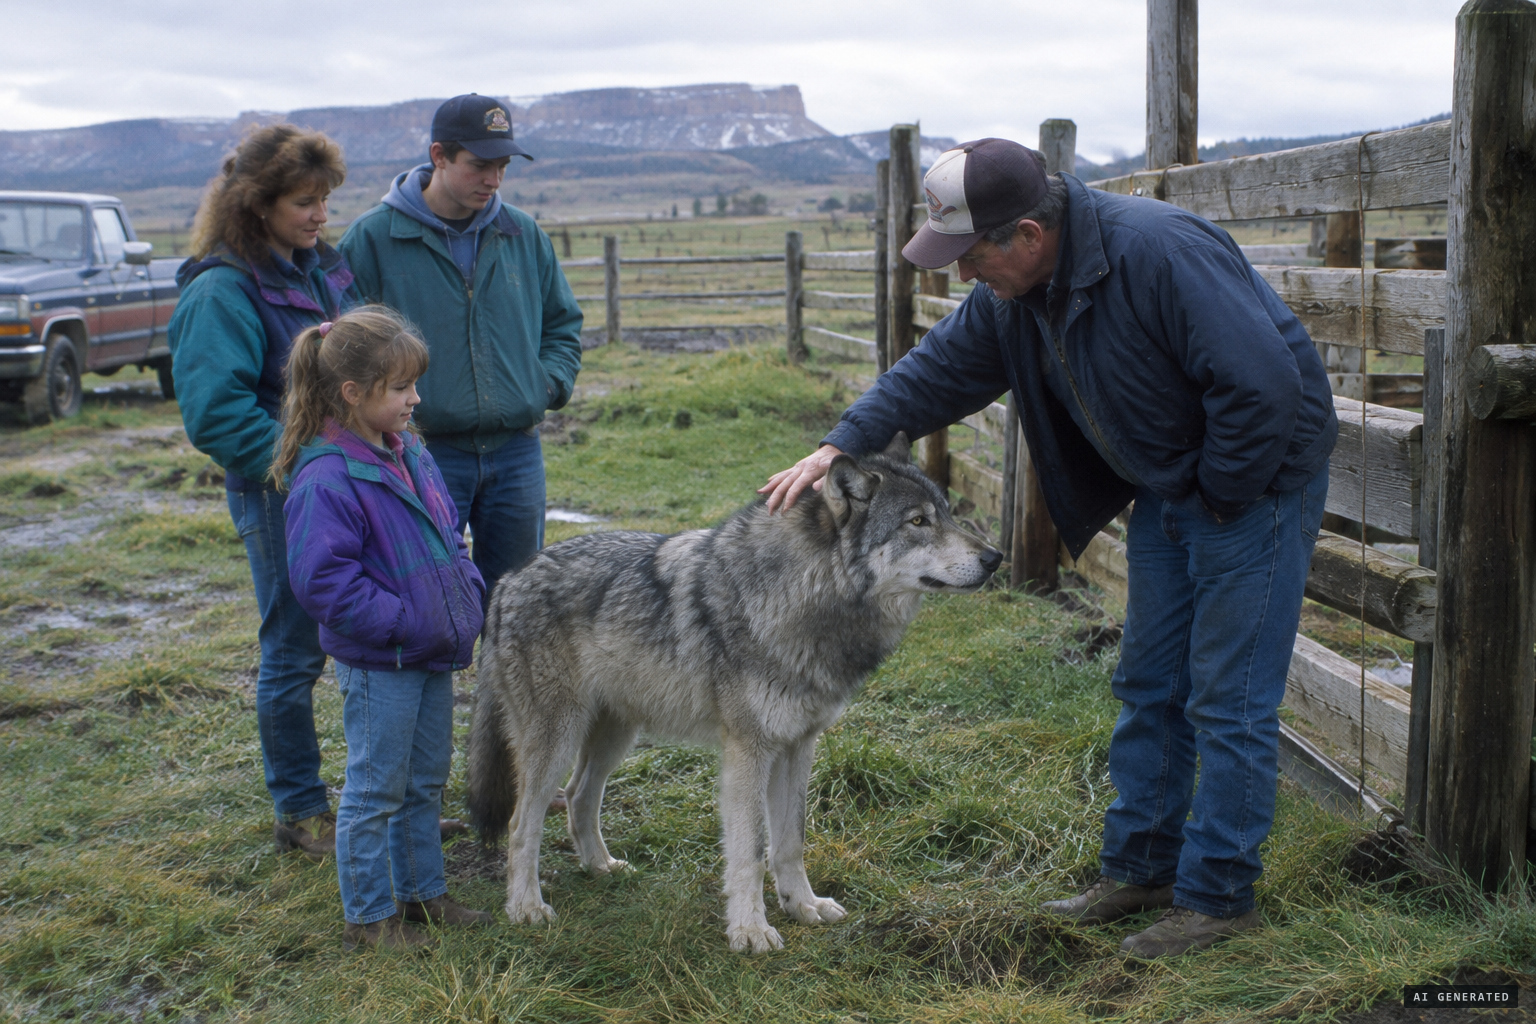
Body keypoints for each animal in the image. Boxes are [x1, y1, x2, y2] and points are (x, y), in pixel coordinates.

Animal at [466, 434, 1001, 953]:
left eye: (947, 513)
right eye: (918, 522)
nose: (995, 558)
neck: (802, 596)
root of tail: (506, 581)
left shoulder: (798, 746)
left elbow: (789, 842)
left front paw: (803, 906)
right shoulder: (748, 750)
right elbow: (750, 851)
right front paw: (750, 931)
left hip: (616, 735)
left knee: (579, 796)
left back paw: (602, 868)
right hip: (557, 740)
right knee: (521, 824)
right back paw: (526, 908)